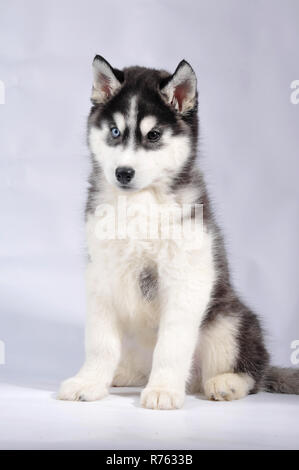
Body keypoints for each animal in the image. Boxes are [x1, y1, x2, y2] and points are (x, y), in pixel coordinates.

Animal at [58, 54, 299, 408]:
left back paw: (226, 383)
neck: (140, 204)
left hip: (230, 320)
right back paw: (122, 375)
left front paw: (162, 390)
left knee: (254, 372)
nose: (123, 172)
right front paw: (89, 382)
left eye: (154, 135)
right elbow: (100, 342)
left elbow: (171, 345)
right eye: (115, 131)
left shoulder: (187, 275)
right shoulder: (101, 273)